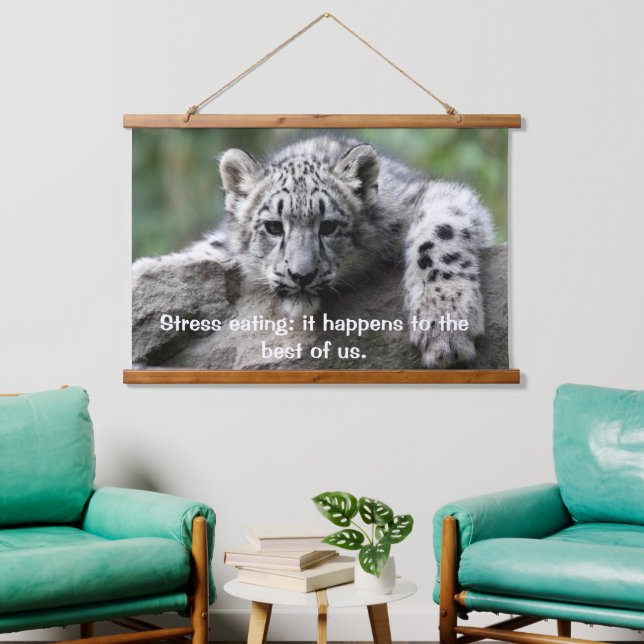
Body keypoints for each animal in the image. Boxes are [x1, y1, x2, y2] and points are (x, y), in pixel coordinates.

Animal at [133, 134, 494, 368]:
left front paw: (445, 327)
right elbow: (206, 252)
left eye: (329, 226)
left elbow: (439, 234)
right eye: (273, 226)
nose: (301, 274)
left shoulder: (435, 197)